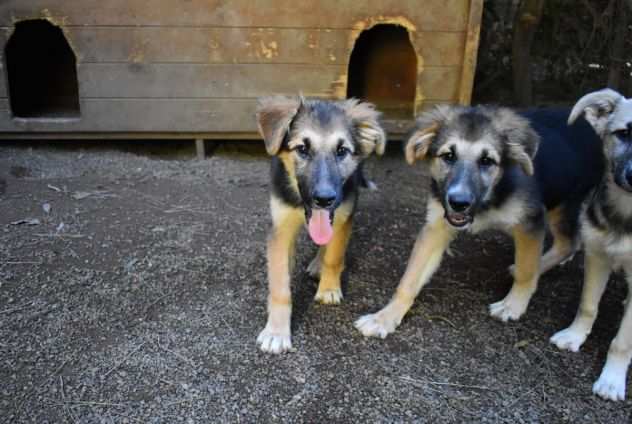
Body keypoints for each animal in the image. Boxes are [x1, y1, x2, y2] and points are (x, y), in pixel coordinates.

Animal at [356, 105, 604, 338]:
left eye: (487, 161)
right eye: (448, 156)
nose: (458, 203)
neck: (488, 199)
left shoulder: (530, 221)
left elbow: (526, 270)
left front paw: (513, 304)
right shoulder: (437, 226)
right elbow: (410, 278)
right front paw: (385, 317)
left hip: (563, 201)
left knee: (567, 243)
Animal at [548, 88, 632, 400]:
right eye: (623, 133)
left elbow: (623, 340)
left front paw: (611, 379)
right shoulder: (597, 256)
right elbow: (587, 305)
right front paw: (574, 336)